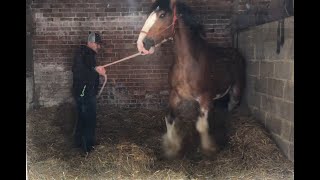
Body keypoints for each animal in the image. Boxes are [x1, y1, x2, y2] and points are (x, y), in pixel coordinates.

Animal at [137, 0, 245, 158]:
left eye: (162, 15)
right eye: (148, 14)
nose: (142, 45)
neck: (187, 64)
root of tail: (236, 52)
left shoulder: (205, 98)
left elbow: (201, 126)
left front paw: (209, 148)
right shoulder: (175, 95)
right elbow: (169, 118)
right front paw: (172, 147)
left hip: (236, 90)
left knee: (231, 105)